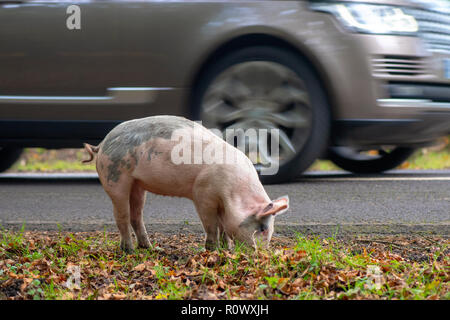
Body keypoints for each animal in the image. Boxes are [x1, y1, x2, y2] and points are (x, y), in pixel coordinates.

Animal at [83, 115, 288, 252]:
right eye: (262, 229)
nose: (261, 254)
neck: (232, 193)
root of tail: (102, 144)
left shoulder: (222, 203)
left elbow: (223, 225)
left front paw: (226, 248)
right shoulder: (202, 194)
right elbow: (211, 224)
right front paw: (213, 250)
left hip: (137, 185)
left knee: (136, 215)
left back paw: (151, 248)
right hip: (115, 178)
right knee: (122, 216)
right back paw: (130, 251)